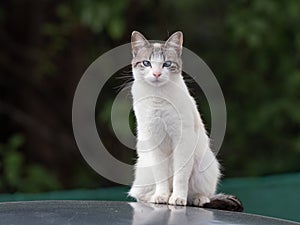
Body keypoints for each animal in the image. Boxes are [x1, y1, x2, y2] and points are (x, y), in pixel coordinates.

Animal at [127, 31, 243, 211]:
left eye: (166, 64)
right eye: (147, 63)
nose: (156, 74)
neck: (159, 97)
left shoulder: (183, 141)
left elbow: (180, 177)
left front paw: (177, 199)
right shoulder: (155, 141)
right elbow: (161, 177)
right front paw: (161, 197)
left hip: (204, 165)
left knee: (199, 195)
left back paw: (197, 199)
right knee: (139, 195)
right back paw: (155, 197)